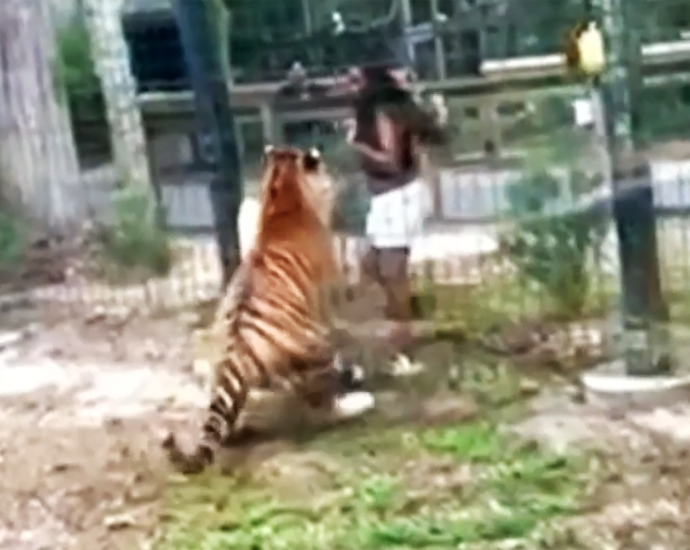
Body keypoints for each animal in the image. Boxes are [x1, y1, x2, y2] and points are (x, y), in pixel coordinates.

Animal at [162, 146, 374, 474]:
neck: (283, 199)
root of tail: (235, 353)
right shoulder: (326, 306)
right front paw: (352, 371)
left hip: (218, 373)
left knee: (223, 420)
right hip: (315, 348)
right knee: (323, 407)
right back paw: (358, 402)